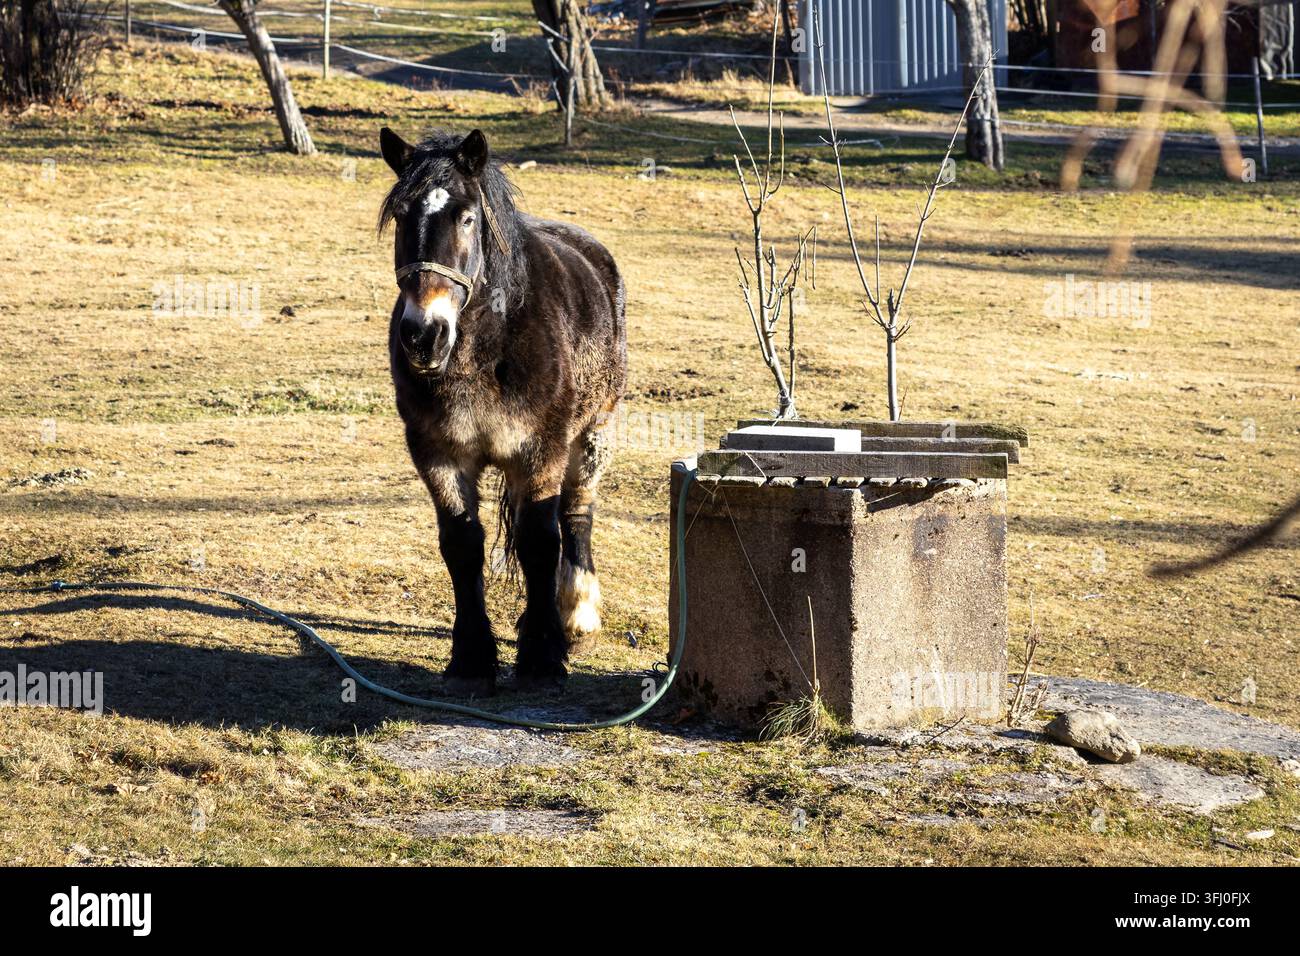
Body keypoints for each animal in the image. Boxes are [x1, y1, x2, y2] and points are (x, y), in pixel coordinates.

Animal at [378, 127, 626, 694]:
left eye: (467, 217)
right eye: (401, 215)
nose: (423, 335)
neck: (487, 347)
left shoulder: (541, 452)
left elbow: (539, 541)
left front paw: (541, 655)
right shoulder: (438, 454)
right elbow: (462, 544)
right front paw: (471, 655)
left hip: (594, 432)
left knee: (576, 514)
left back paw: (577, 614)